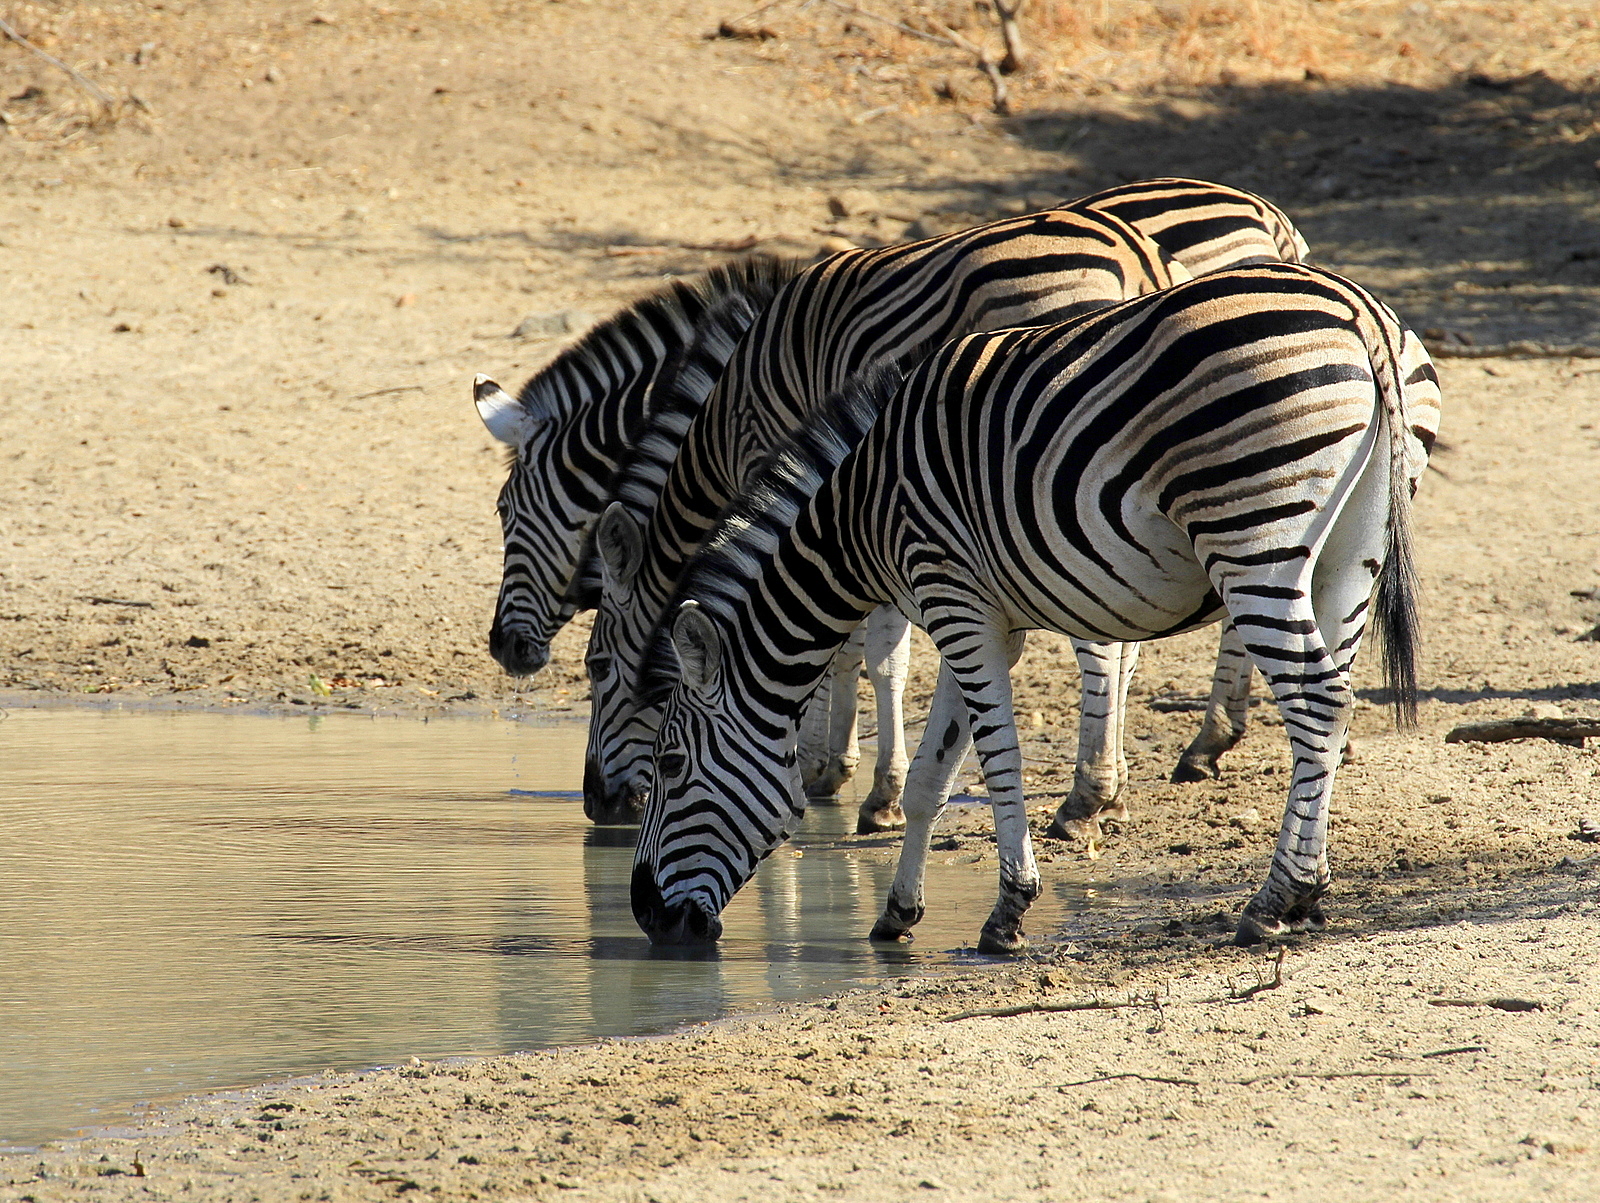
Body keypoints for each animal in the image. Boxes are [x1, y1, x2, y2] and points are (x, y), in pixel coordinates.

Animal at [580, 179, 1309, 834]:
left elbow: (855, 648)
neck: (730, 412)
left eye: (594, 667)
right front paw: (835, 768)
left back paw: (1092, 795)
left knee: (1122, 637)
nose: (598, 806)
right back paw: (1159, 766)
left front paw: (850, 780)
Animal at [628, 263, 1442, 952]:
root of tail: (1359, 312)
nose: (644, 914)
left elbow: (997, 759)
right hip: (1349, 555)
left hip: (1251, 532)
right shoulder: (978, 614)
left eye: (669, 764)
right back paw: (1309, 892)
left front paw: (1008, 910)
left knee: (1315, 699)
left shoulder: (953, 599)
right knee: (1332, 705)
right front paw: (897, 912)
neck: (863, 509)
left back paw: (1276, 896)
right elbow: (932, 775)